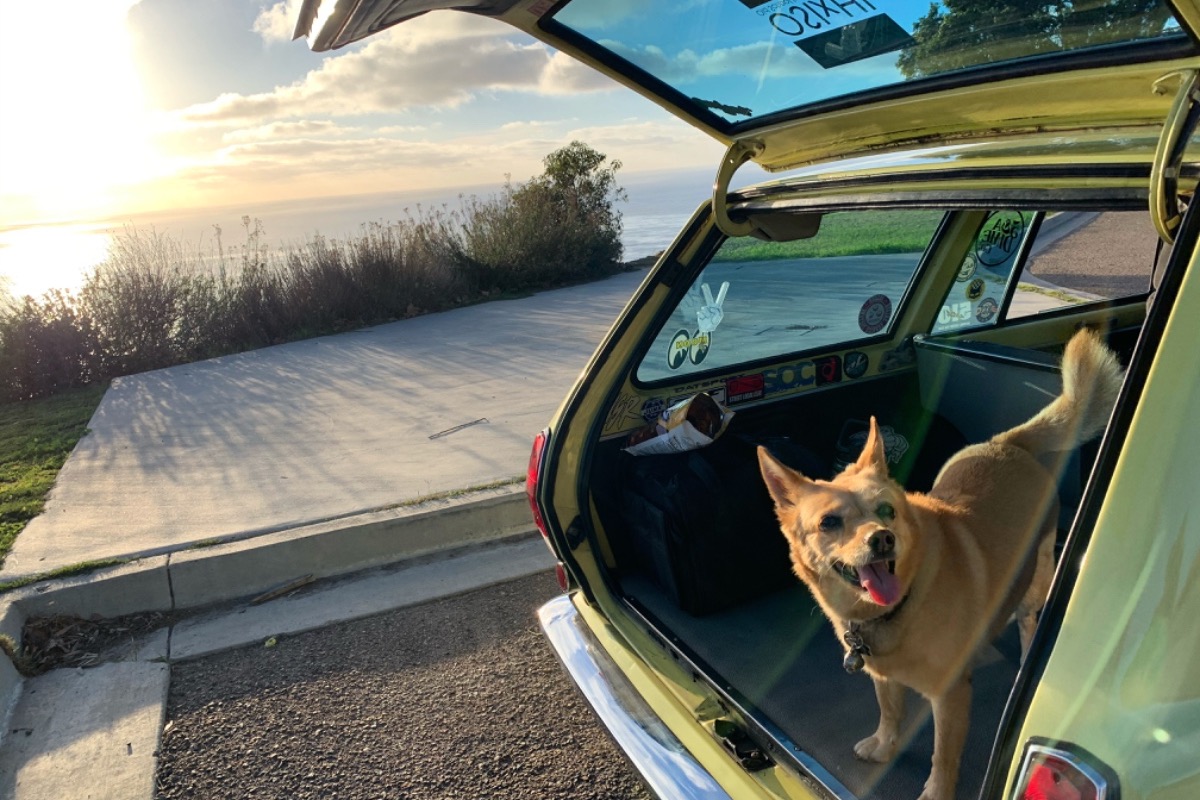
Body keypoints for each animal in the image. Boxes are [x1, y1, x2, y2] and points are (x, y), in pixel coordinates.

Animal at [757, 328, 1122, 800]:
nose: (883, 538)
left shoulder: (950, 698)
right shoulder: (884, 677)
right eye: (829, 522)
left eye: (887, 511)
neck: (897, 608)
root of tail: (1006, 443)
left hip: (1039, 575)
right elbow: (889, 712)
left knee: (1028, 619)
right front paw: (884, 745)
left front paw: (936, 790)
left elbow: (943, 754)